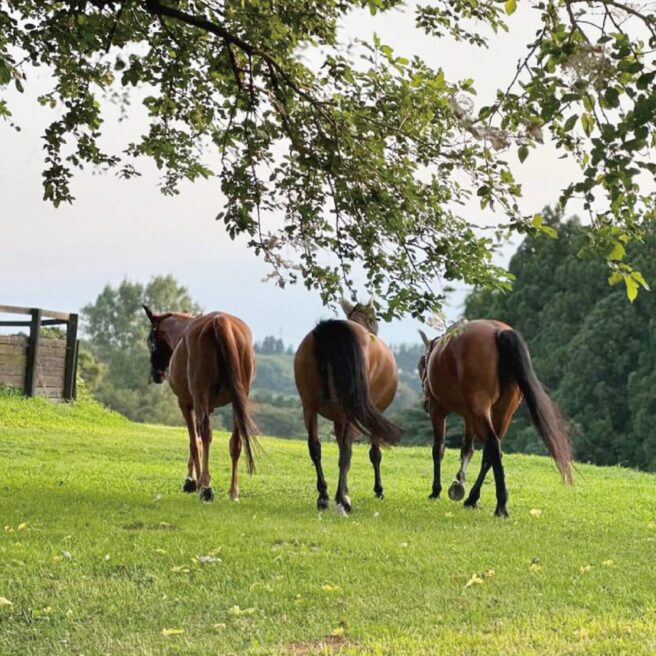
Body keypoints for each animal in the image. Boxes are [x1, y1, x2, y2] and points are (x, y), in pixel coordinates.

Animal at [143, 306, 258, 502]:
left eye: (151, 340)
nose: (156, 374)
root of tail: (219, 321)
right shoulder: (205, 406)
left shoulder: (186, 403)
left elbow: (194, 441)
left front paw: (192, 480)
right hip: (238, 401)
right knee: (235, 442)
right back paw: (233, 491)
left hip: (200, 395)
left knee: (205, 435)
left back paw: (205, 485)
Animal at [294, 299, 402, 513]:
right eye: (375, 318)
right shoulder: (370, 415)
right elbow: (374, 454)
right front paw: (377, 489)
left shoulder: (337, 419)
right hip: (350, 411)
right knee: (346, 452)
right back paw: (341, 499)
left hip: (309, 407)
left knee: (315, 448)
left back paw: (323, 496)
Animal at [418, 319, 573, 518]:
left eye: (421, 366)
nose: (424, 402)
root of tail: (499, 332)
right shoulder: (469, 416)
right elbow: (467, 450)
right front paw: (459, 482)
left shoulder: (438, 410)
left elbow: (438, 449)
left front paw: (436, 490)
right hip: (503, 409)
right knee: (492, 450)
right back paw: (473, 498)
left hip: (479, 407)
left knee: (492, 444)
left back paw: (500, 505)